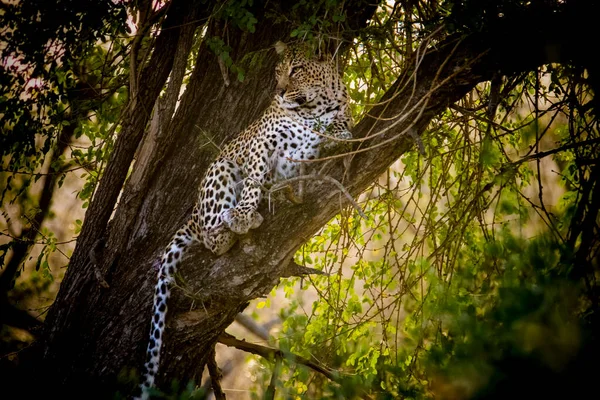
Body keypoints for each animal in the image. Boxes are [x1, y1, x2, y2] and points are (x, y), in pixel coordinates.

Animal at [136, 39, 352, 396]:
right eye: (278, 71)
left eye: (296, 70)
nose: (279, 92)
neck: (314, 109)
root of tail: (192, 215)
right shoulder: (261, 143)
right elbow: (254, 177)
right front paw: (244, 213)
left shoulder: (318, 141)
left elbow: (334, 131)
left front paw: (339, 133)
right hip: (221, 167)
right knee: (212, 235)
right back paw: (229, 224)